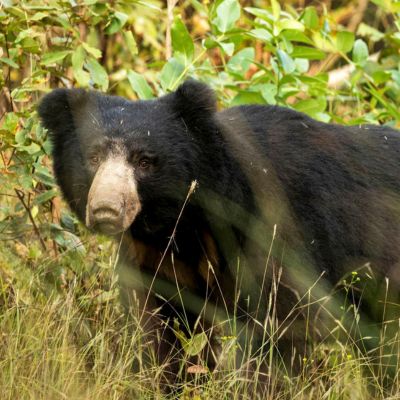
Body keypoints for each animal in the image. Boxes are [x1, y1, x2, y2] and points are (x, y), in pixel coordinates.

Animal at [38, 81, 400, 376]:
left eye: (144, 162)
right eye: (94, 157)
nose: (106, 209)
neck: (182, 225)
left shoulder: (276, 235)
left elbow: (279, 326)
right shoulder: (154, 261)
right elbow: (159, 331)